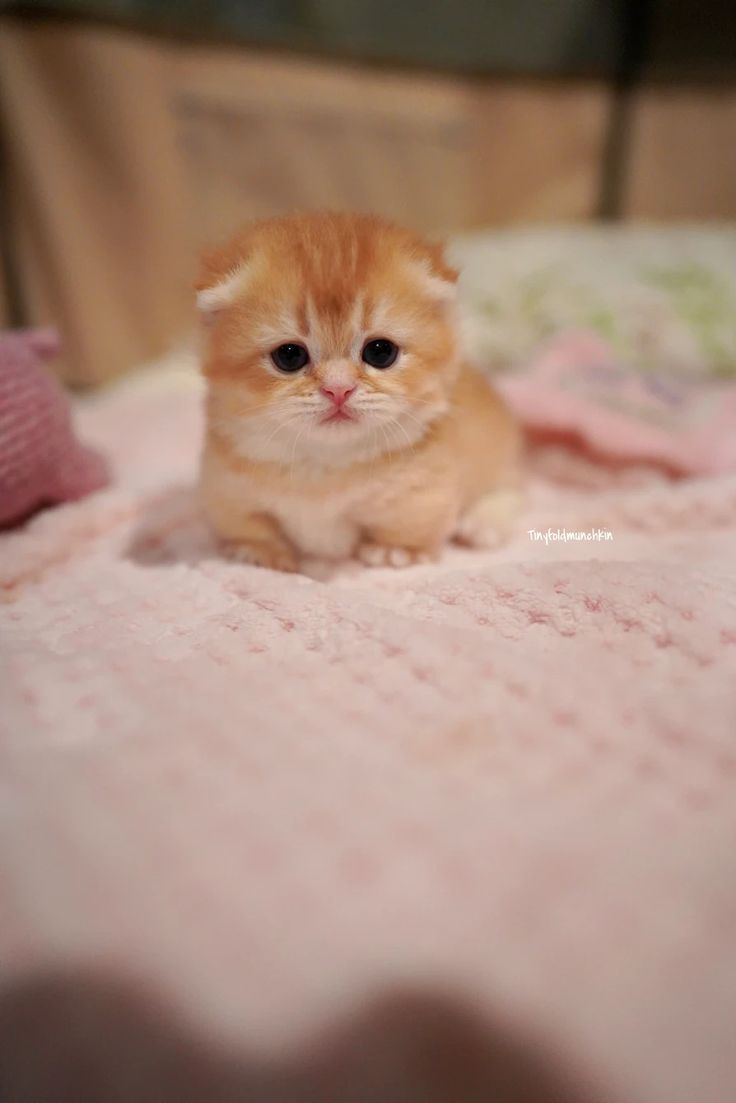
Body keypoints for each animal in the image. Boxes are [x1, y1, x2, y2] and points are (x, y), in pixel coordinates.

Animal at [193, 210, 520, 573]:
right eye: (289, 356)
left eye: (380, 352)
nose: (338, 388)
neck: (324, 467)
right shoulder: (225, 489)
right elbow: (249, 526)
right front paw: (257, 553)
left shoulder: (424, 491)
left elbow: (412, 526)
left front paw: (394, 551)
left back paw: (483, 524)